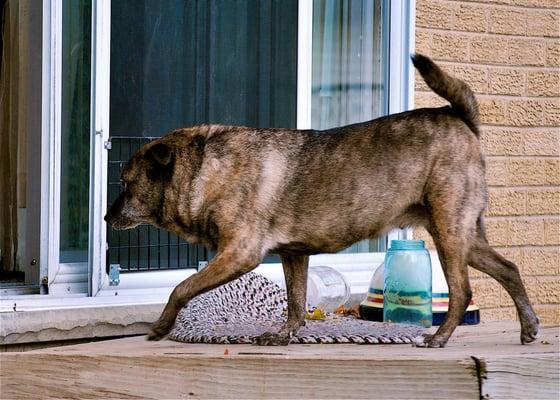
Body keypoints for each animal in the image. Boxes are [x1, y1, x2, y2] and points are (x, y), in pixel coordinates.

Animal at [104, 53, 540, 346]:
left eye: (125, 182)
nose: (107, 218)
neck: (205, 168)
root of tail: (459, 116)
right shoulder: (294, 255)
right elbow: (295, 303)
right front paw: (283, 336)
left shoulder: (238, 254)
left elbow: (181, 288)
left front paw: (161, 327)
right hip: (465, 236)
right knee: (509, 269)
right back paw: (529, 326)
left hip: (449, 233)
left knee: (462, 291)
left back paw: (439, 338)